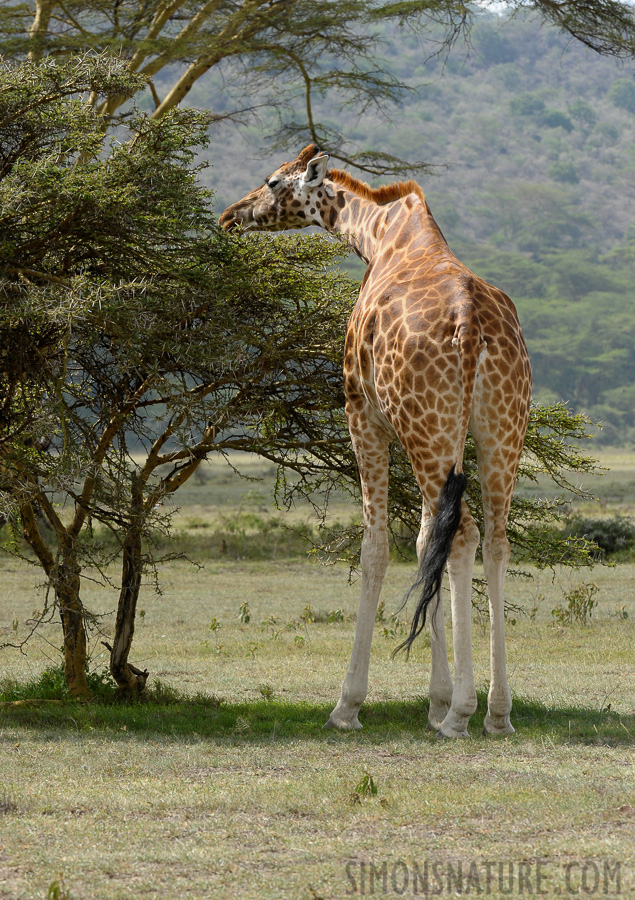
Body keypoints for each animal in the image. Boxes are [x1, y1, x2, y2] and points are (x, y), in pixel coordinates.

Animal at [219, 144, 532, 736]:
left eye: (272, 182)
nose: (230, 216)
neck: (379, 236)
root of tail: (471, 324)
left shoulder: (361, 412)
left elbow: (378, 547)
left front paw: (350, 705)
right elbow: (424, 542)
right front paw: (434, 699)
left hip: (425, 424)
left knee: (461, 535)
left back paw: (462, 713)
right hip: (499, 428)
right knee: (493, 539)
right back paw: (497, 713)